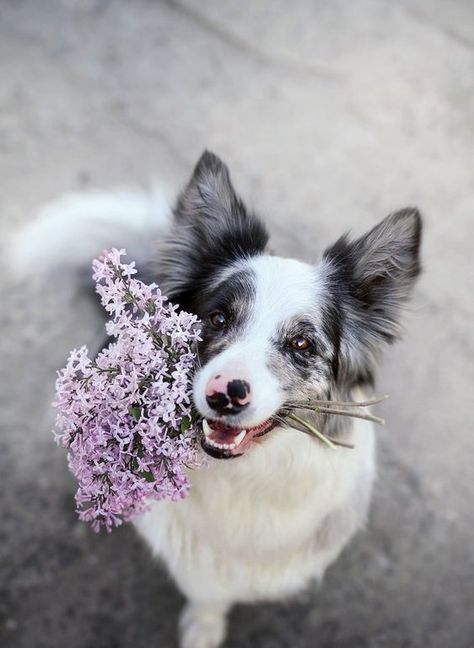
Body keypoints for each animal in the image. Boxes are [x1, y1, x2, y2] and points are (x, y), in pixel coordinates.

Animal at [12, 149, 422, 644]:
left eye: (302, 344)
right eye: (218, 318)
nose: (226, 395)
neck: (246, 476)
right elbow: (206, 592)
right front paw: (203, 627)